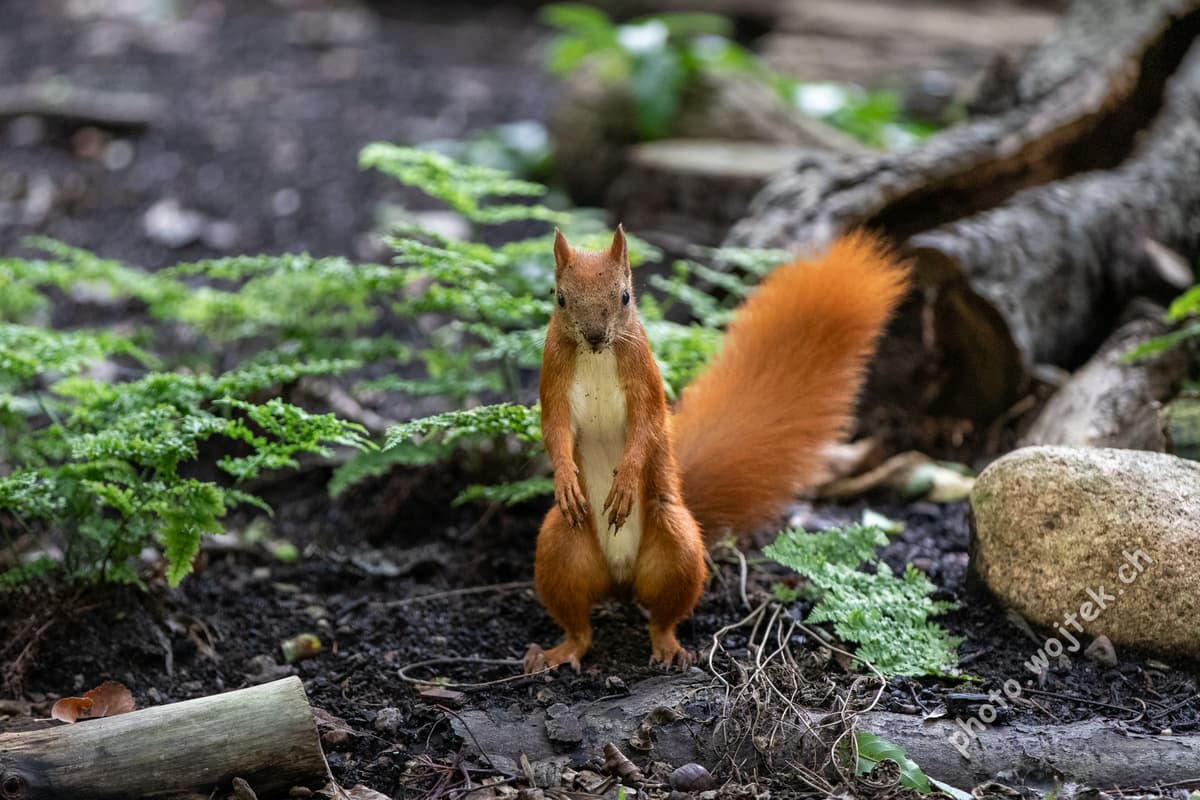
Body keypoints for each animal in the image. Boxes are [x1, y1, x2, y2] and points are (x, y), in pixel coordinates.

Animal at [522, 225, 910, 673]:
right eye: (559, 297)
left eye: (625, 296)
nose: (596, 336)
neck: (596, 357)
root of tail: (620, 578)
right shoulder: (553, 378)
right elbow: (554, 431)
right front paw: (565, 479)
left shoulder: (644, 377)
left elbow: (647, 429)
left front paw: (625, 482)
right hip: (560, 549)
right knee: (579, 626)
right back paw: (559, 651)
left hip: (678, 546)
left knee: (663, 618)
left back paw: (669, 648)